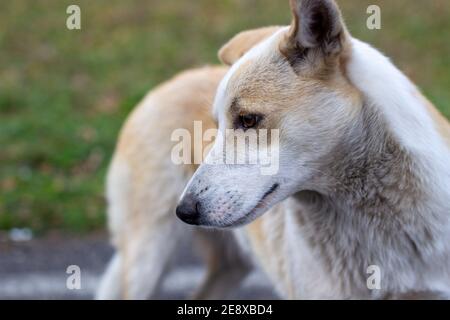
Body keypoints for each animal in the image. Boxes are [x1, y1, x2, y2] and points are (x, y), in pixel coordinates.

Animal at [97, 0, 450, 300]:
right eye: (217, 126)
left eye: (248, 120)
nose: (184, 211)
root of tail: (160, 86)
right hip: (147, 261)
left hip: (228, 267)